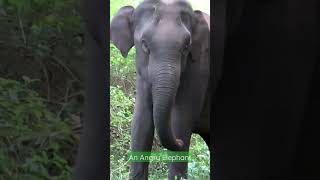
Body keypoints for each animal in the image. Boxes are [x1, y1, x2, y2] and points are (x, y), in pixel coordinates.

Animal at [110, 0, 210, 179]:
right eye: (144, 43)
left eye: (187, 45)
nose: (179, 142)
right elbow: (141, 123)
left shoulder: (200, 69)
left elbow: (180, 121)